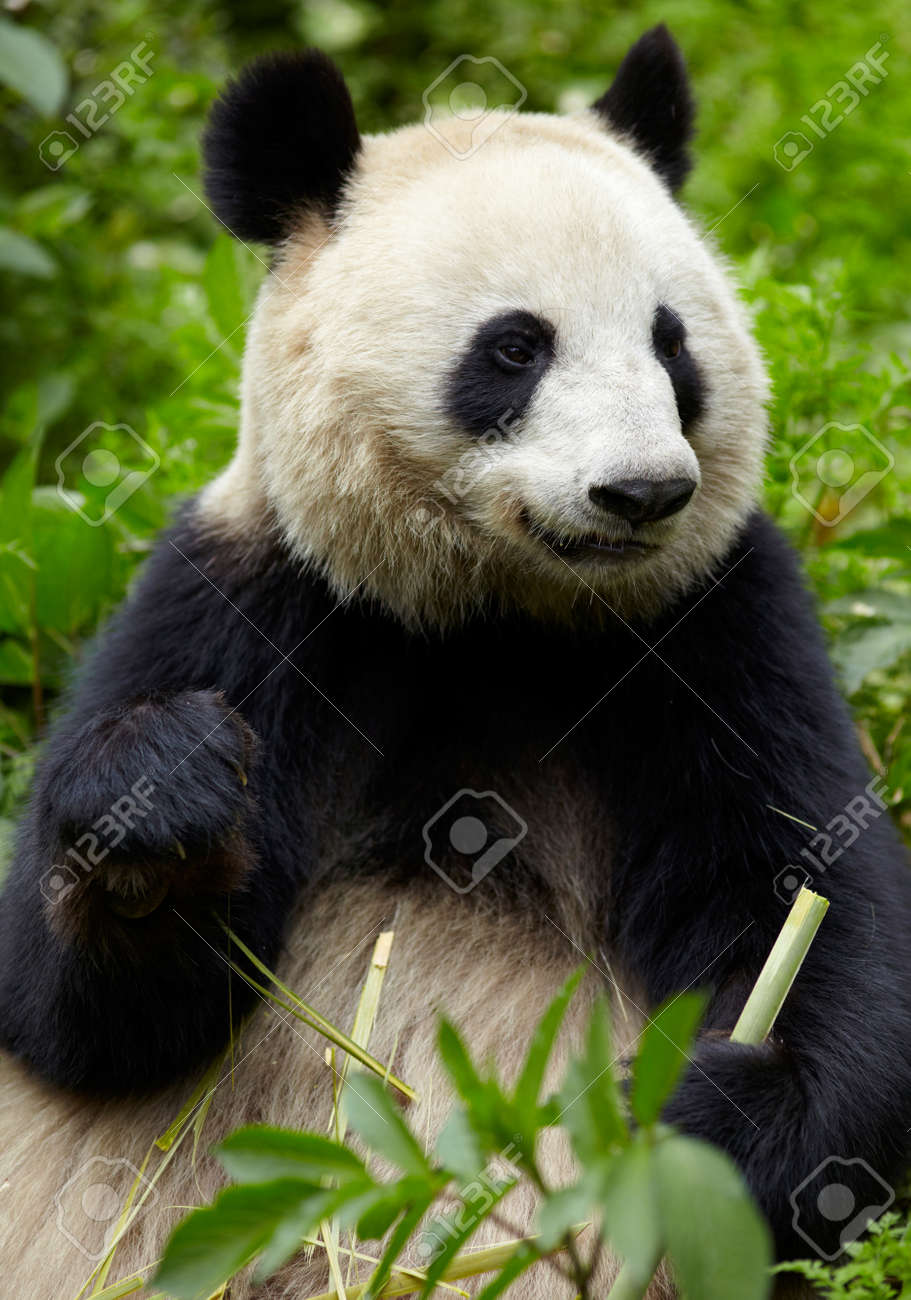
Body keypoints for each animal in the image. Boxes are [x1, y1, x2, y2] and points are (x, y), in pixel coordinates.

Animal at [1, 23, 910, 1300]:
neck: (501, 614)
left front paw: (716, 1115)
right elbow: (79, 1023)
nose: (642, 492)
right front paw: (162, 803)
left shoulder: (717, 621)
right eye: (515, 347)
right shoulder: (260, 592)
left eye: (670, 342)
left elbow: (813, 900)